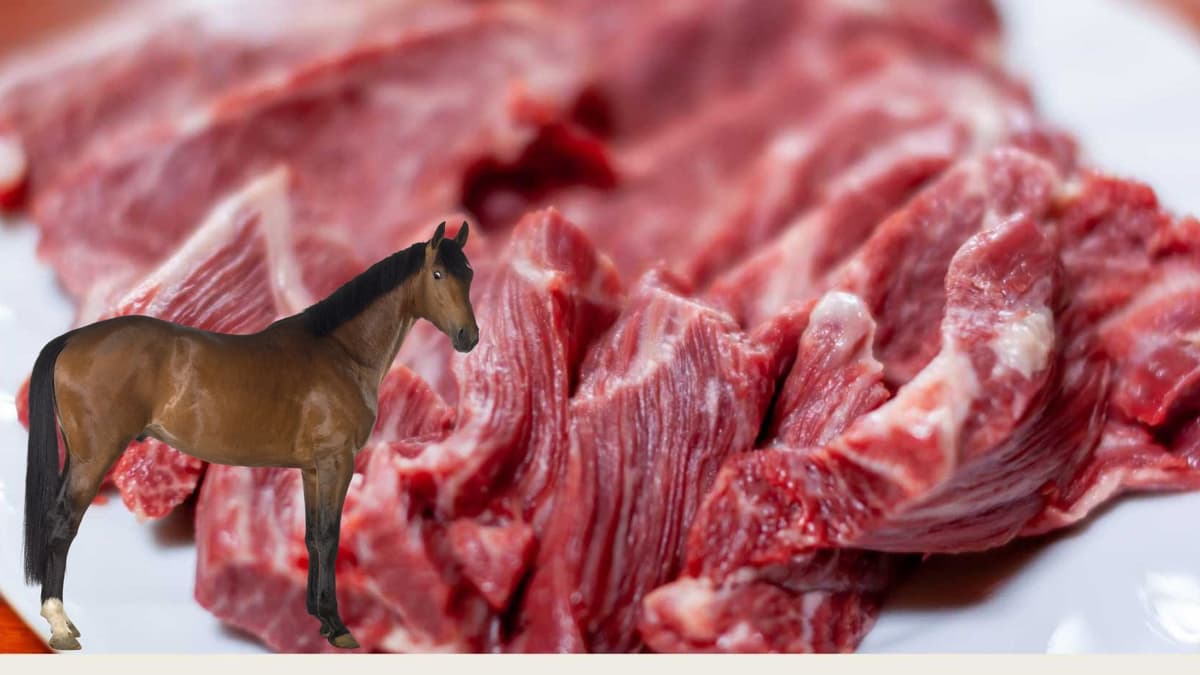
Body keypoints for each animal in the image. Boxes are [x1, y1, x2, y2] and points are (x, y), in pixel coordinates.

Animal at [23, 221, 478, 651]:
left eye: (469, 273)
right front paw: (337, 626)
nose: (468, 337)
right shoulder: (337, 463)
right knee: (62, 524)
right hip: (94, 458)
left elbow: (313, 537)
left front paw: (319, 617)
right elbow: (330, 537)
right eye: (438, 274)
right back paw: (60, 625)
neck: (341, 352)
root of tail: (73, 339)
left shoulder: (313, 470)